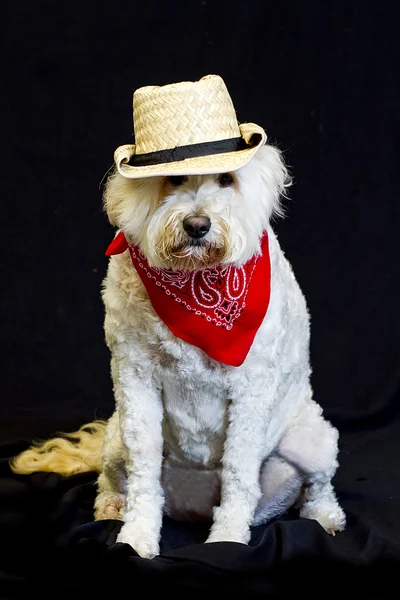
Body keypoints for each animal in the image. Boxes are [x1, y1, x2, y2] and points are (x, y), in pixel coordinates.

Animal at [10, 75, 346, 556]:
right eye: (172, 178)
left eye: (227, 179)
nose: (197, 225)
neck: (195, 280)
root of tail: (193, 509)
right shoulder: (134, 378)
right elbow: (144, 467)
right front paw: (135, 538)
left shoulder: (252, 386)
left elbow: (239, 469)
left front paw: (227, 541)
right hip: (115, 436)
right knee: (112, 476)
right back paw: (111, 507)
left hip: (311, 439)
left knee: (318, 485)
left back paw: (324, 517)